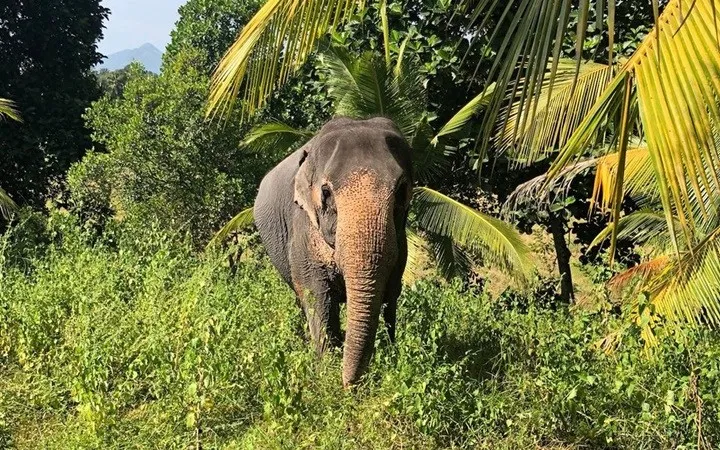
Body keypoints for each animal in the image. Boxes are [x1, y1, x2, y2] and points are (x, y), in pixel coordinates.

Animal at [255, 116, 414, 386]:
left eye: (402, 190)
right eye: (326, 192)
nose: (348, 387)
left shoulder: (401, 242)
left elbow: (391, 296)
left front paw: (391, 353)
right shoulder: (303, 229)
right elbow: (318, 298)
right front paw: (327, 369)